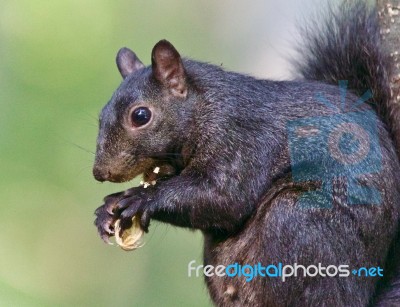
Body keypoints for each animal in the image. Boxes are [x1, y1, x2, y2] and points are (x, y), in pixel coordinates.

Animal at [92, 1, 400, 306]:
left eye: (140, 115)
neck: (204, 108)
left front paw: (140, 198)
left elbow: (225, 197)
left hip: (299, 221)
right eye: (101, 116)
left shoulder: (242, 140)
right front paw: (108, 208)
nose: (100, 172)